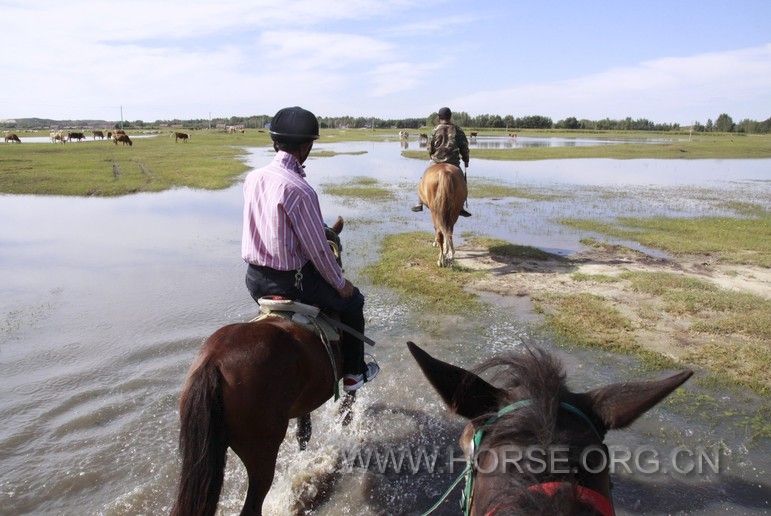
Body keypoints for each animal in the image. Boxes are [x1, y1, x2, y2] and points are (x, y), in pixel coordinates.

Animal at [170, 219, 358, 516]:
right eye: (336, 247)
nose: (340, 273)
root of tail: (213, 361)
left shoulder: (302, 402)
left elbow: (304, 434)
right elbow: (347, 406)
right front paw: (345, 430)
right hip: (262, 452)